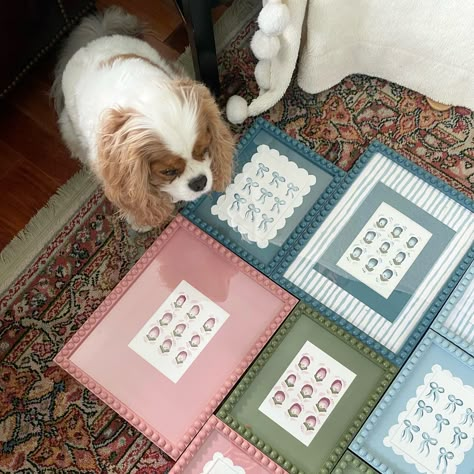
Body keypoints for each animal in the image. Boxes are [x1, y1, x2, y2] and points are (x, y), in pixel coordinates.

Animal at [52, 6, 235, 231]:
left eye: (205, 150)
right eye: (168, 171)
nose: (199, 182)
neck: (145, 99)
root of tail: (94, 38)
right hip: (71, 132)